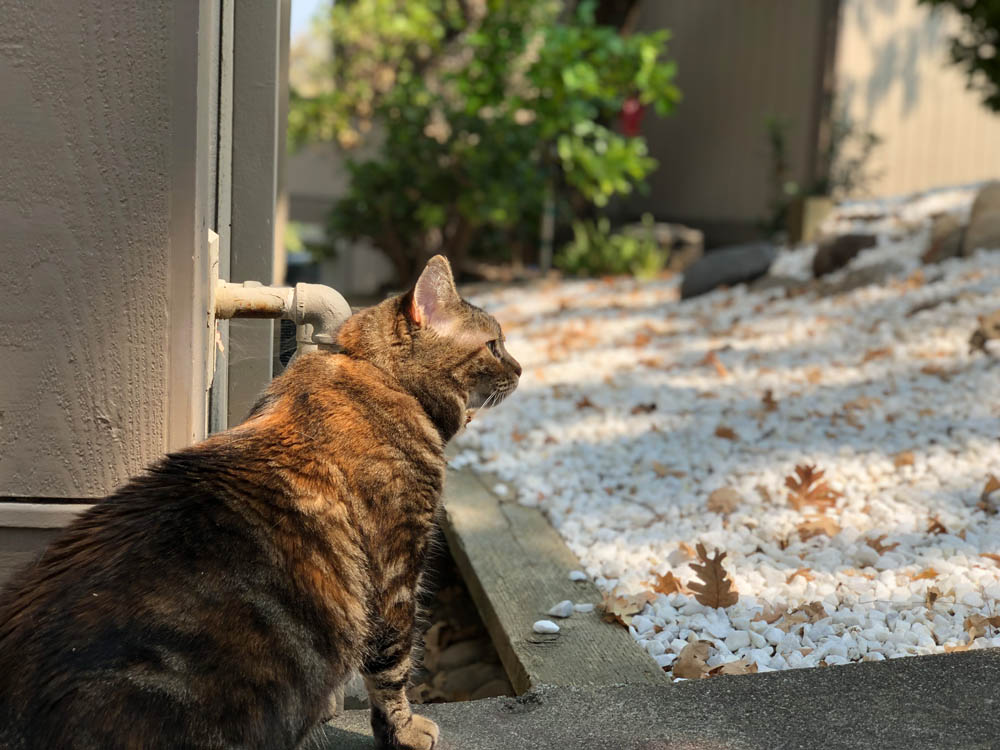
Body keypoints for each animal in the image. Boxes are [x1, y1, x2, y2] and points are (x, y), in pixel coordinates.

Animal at [0, 255, 520, 750]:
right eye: (494, 345)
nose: (519, 369)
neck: (373, 373)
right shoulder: (395, 570)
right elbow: (394, 666)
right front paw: (405, 732)